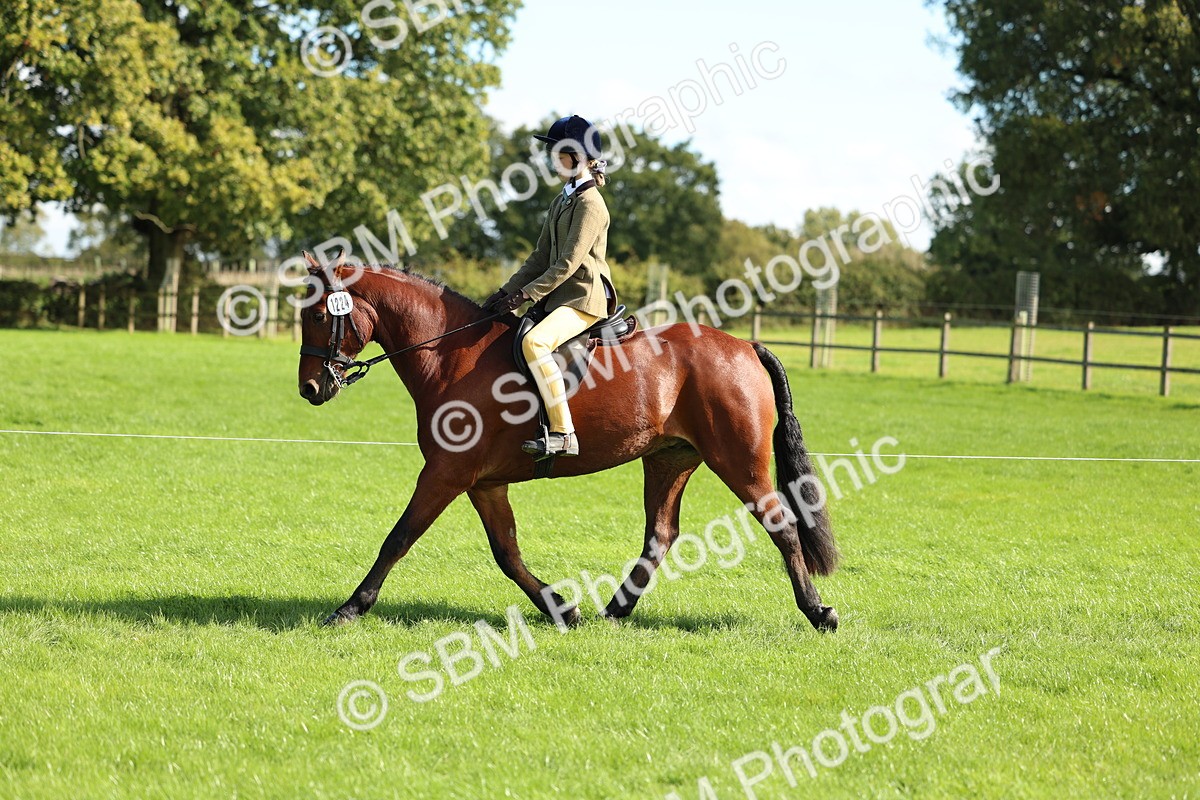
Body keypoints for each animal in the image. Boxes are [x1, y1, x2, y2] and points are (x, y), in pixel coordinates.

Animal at [295, 252, 840, 631]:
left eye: (320, 316)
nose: (310, 389)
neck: (451, 356)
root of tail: (744, 345)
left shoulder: (445, 473)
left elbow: (399, 537)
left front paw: (350, 608)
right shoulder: (482, 483)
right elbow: (507, 552)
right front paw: (561, 608)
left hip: (739, 461)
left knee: (781, 525)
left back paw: (818, 612)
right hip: (670, 459)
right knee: (660, 535)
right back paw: (614, 610)